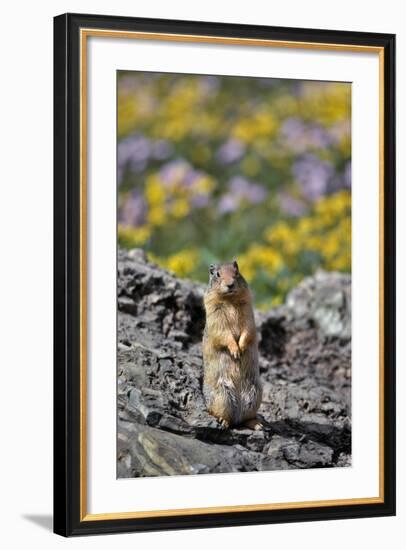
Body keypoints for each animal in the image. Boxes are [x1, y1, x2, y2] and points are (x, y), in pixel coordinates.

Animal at [201, 264, 262, 432]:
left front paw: (241, 347)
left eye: (237, 272)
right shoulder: (215, 313)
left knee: (246, 418)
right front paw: (235, 351)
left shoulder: (248, 311)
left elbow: (248, 328)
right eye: (217, 274)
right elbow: (224, 332)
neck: (230, 299)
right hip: (223, 395)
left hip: (255, 395)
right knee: (220, 413)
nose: (230, 284)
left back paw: (257, 425)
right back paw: (224, 422)